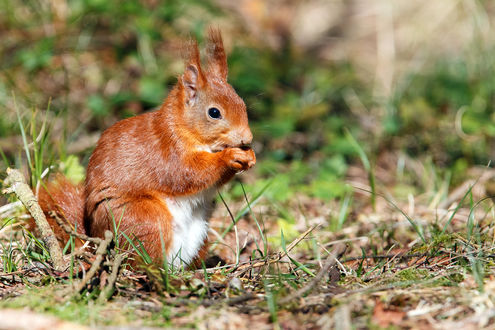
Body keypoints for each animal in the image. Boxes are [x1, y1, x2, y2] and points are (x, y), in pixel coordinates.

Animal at [37, 29, 256, 266]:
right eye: (214, 112)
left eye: (242, 103)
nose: (248, 138)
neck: (182, 128)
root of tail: (94, 239)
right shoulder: (166, 151)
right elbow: (189, 173)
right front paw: (229, 156)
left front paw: (249, 156)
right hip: (146, 220)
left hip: (200, 234)